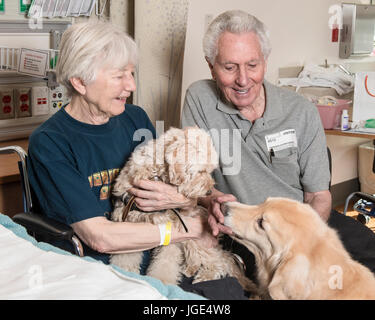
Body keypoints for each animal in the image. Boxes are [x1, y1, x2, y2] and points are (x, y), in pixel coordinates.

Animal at [110, 127, 254, 290]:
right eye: (201, 171)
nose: (209, 192)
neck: (156, 174)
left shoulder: (173, 233)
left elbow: (165, 264)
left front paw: (162, 283)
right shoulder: (129, 221)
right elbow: (125, 257)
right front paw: (124, 273)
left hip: (196, 239)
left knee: (220, 261)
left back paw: (205, 275)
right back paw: (189, 269)